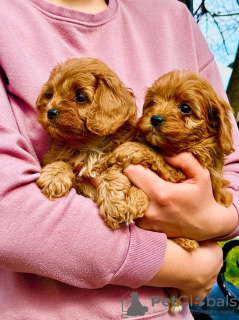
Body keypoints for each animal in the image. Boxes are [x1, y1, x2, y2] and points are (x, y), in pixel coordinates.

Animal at [35, 57, 136, 200]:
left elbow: (112, 169)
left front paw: (112, 195)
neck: (89, 144)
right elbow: (63, 159)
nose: (50, 112)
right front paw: (55, 175)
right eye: (50, 95)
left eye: (80, 97)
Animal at [93, 70, 233, 312]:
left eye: (185, 108)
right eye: (152, 103)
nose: (155, 118)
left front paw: (129, 151)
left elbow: (153, 155)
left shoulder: (180, 172)